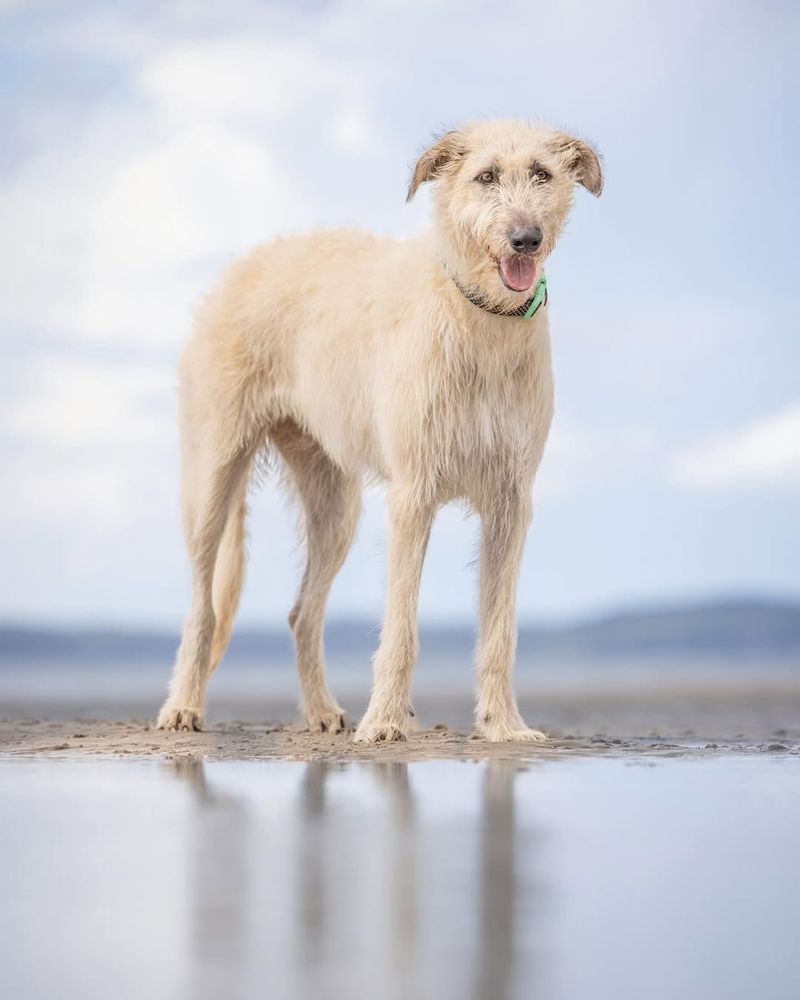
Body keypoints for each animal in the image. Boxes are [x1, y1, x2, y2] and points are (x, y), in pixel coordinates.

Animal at [156, 119, 600, 744]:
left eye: (542, 174)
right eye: (485, 176)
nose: (526, 239)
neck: (479, 319)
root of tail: (242, 264)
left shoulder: (510, 501)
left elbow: (499, 631)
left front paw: (503, 726)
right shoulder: (412, 495)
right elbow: (401, 626)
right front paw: (387, 720)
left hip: (335, 505)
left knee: (302, 612)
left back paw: (321, 710)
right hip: (211, 476)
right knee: (203, 604)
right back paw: (183, 706)